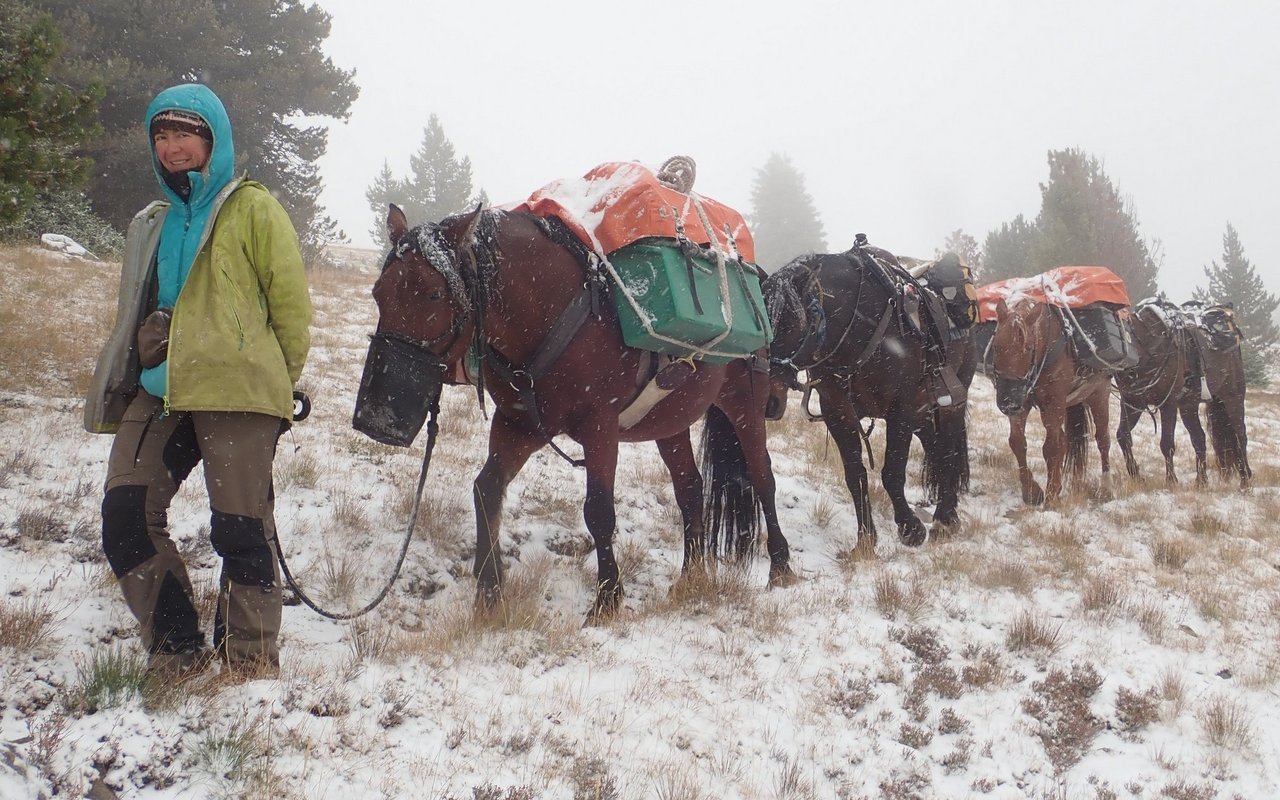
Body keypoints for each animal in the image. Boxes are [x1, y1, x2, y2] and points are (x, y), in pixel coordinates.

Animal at [358, 202, 788, 622]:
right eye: (378, 293)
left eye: (433, 294)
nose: (376, 417)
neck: (554, 311)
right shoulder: (519, 424)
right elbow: (486, 490)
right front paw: (490, 594)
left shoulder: (600, 428)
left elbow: (598, 511)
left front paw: (607, 601)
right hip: (671, 421)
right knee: (690, 489)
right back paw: (690, 577)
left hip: (744, 404)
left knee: (762, 477)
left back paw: (781, 566)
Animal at [757, 247, 967, 552]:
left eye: (791, 324)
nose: (767, 401)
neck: (858, 325)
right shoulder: (837, 412)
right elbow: (855, 475)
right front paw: (866, 536)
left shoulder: (901, 408)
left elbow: (892, 472)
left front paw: (910, 528)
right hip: (922, 409)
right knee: (934, 446)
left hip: (949, 401)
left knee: (948, 451)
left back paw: (945, 516)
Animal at [988, 296, 1111, 501]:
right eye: (997, 346)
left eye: (1028, 347)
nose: (1007, 401)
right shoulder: (1022, 403)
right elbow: (1017, 442)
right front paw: (1031, 490)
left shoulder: (1053, 404)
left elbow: (1052, 448)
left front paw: (1051, 493)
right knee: (1065, 440)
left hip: (1099, 395)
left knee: (1103, 440)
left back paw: (1106, 487)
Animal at [1116, 299, 1192, 483]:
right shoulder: (1132, 402)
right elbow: (1123, 436)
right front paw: (1135, 474)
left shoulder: (1169, 403)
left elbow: (1167, 443)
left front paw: (1172, 479)